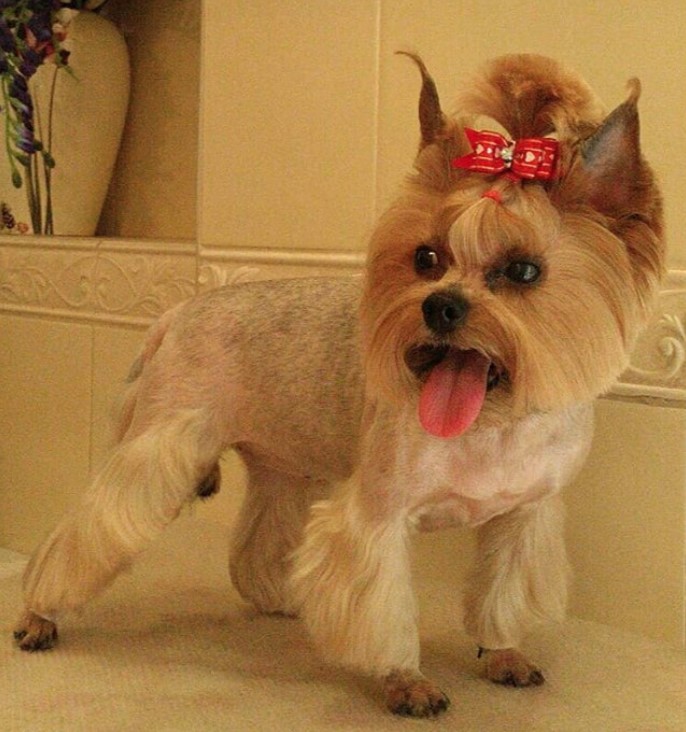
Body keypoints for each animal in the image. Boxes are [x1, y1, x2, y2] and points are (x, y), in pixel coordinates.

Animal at [12, 54, 668, 716]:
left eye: (524, 271)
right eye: (426, 258)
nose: (440, 307)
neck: (492, 421)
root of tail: (177, 313)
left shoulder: (525, 516)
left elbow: (504, 592)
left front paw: (504, 654)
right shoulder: (379, 514)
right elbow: (381, 606)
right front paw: (406, 680)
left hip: (285, 464)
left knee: (262, 533)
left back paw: (281, 595)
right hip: (163, 441)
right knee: (91, 525)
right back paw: (40, 614)